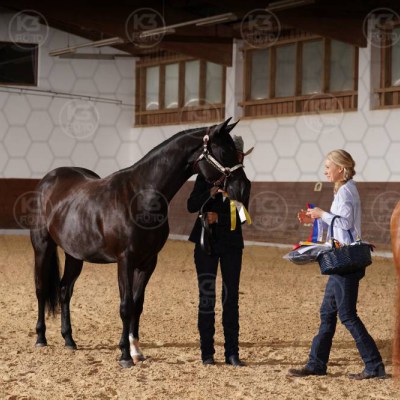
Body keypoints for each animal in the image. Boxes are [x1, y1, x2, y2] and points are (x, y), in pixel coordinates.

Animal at [30, 118, 251, 368]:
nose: (243, 188)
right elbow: (126, 306)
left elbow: (137, 303)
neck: (142, 195)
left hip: (74, 254)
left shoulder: (148, 261)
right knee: (40, 288)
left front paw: (135, 350)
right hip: (42, 246)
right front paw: (125, 356)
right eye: (223, 151)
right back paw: (40, 338)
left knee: (64, 290)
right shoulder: (125, 261)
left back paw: (69, 340)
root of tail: (48, 179)